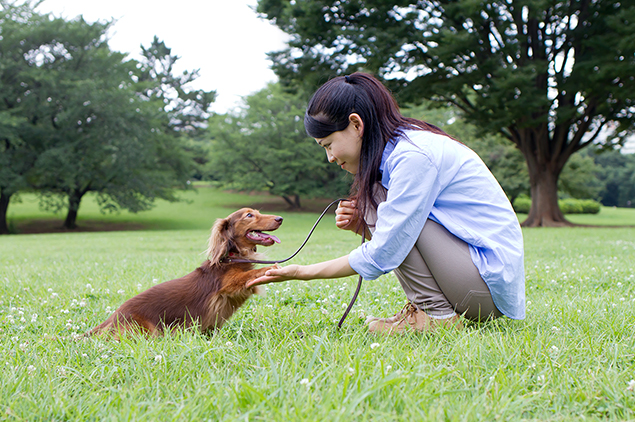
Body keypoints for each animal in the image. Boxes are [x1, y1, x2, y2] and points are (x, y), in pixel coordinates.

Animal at [87, 209, 284, 338]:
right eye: (249, 215)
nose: (280, 218)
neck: (232, 257)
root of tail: (113, 316)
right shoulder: (227, 284)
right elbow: (251, 274)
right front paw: (269, 269)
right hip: (146, 330)